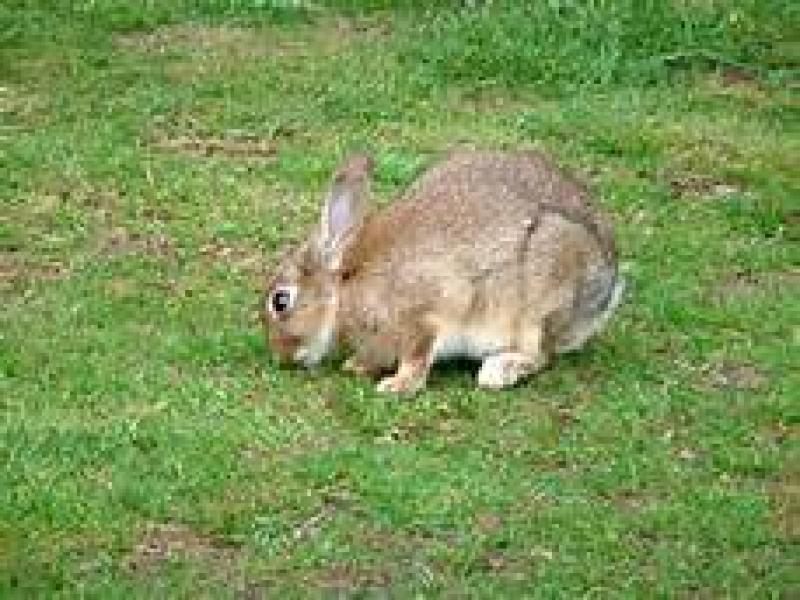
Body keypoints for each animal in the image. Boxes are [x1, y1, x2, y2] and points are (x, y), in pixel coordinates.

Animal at [261, 150, 624, 394]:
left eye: (281, 301)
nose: (281, 357)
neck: (344, 290)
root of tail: (607, 286)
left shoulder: (425, 313)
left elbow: (419, 353)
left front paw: (398, 385)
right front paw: (358, 366)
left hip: (539, 300)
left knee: (540, 354)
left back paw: (498, 371)